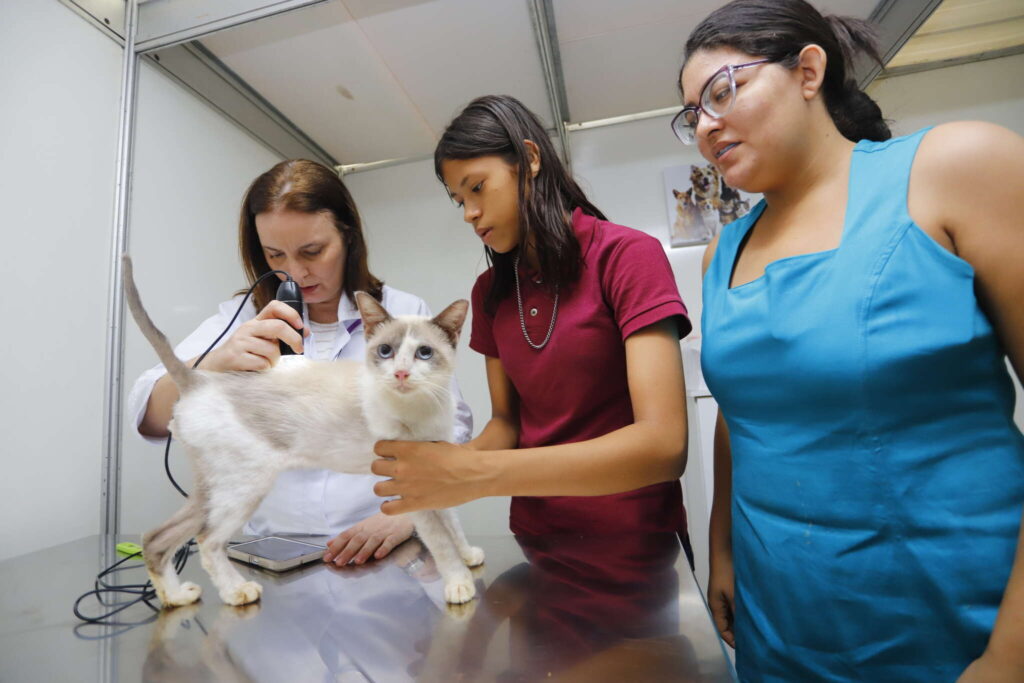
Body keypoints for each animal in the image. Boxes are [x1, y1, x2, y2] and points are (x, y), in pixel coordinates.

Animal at [122, 258, 483, 610]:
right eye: (385, 352)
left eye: (424, 353)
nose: (401, 373)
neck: (424, 409)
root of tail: (199, 378)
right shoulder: (409, 487)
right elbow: (440, 541)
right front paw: (459, 583)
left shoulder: (434, 475)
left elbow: (453, 524)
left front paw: (468, 556)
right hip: (243, 487)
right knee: (207, 541)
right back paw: (237, 591)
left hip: (216, 488)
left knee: (156, 538)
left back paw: (176, 596)